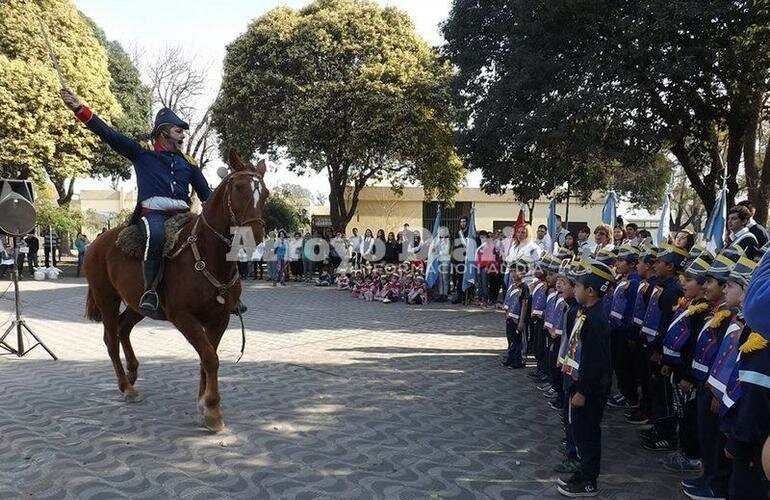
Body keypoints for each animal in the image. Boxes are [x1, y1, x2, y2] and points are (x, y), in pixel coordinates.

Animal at [83, 150, 268, 432]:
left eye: (265, 193)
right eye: (238, 187)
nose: (252, 235)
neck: (208, 255)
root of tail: (97, 242)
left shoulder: (219, 319)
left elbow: (208, 356)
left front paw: (203, 403)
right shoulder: (183, 317)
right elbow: (210, 357)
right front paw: (213, 410)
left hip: (138, 304)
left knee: (124, 329)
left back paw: (132, 373)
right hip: (107, 300)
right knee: (111, 339)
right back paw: (126, 387)